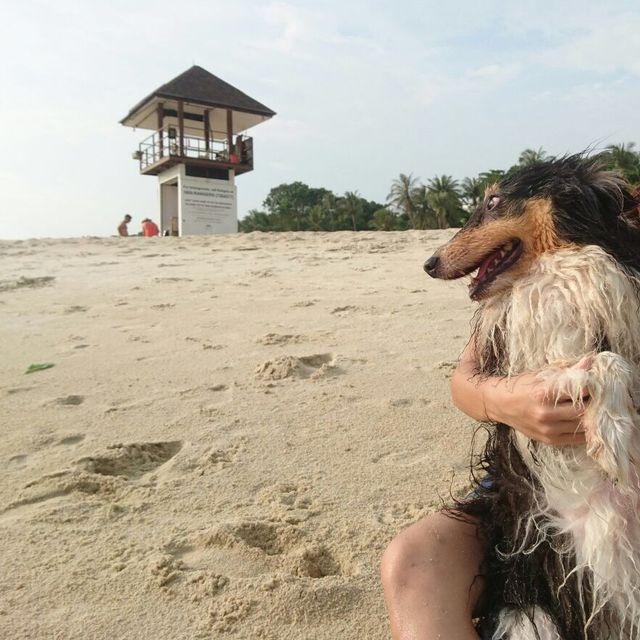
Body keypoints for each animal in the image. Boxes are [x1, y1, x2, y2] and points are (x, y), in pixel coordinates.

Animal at [424, 156, 640, 640]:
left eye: (493, 201)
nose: (428, 264)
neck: (558, 269)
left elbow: (612, 359)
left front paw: (611, 438)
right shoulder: (528, 359)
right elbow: (599, 361)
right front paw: (611, 439)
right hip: (531, 609)